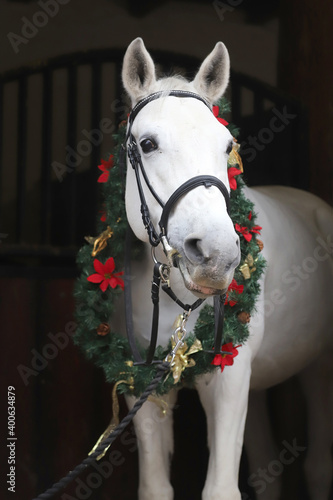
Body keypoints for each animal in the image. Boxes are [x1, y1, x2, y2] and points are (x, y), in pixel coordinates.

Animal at [115, 38, 330, 500]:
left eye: (226, 145)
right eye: (147, 144)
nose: (216, 255)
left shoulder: (228, 380)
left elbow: (220, 489)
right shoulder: (144, 389)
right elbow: (155, 487)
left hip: (320, 367)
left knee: (320, 466)